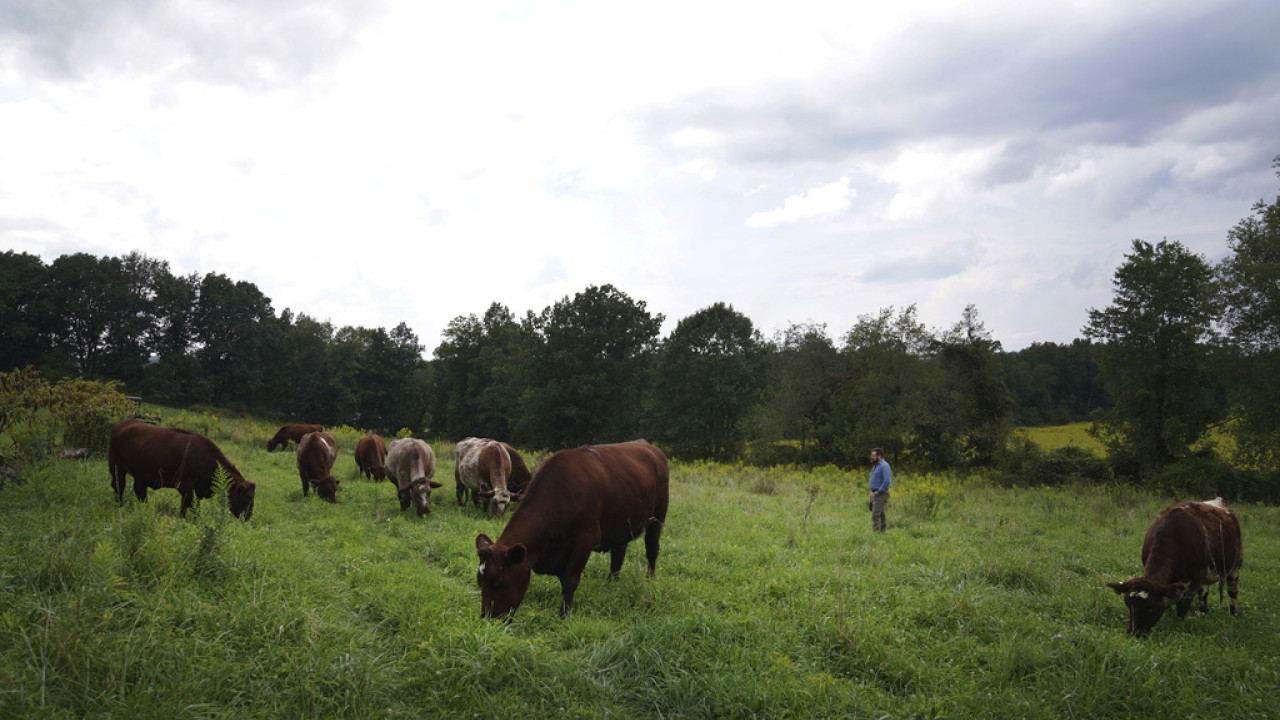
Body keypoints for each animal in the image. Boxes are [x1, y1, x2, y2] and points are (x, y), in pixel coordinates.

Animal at [108, 417, 256, 517]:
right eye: (248, 498)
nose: (248, 517)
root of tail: (122, 425)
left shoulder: (197, 491)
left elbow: (196, 508)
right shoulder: (186, 489)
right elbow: (186, 508)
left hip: (140, 475)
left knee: (140, 490)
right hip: (117, 467)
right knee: (119, 486)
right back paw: (120, 506)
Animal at [478, 438, 670, 617]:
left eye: (497, 582)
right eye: (480, 583)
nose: (488, 618)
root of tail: (648, 446)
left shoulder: (585, 540)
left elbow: (570, 580)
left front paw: (565, 613)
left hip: (657, 517)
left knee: (652, 549)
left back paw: (650, 580)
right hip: (621, 521)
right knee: (618, 554)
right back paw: (611, 582)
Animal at [1105, 497, 1244, 630]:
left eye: (1152, 610)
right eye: (1129, 605)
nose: (1134, 632)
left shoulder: (1194, 579)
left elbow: (1183, 605)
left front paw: (1178, 623)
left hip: (1236, 565)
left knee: (1232, 591)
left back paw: (1234, 616)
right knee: (1204, 592)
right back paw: (1202, 613)